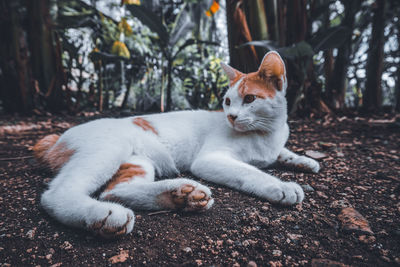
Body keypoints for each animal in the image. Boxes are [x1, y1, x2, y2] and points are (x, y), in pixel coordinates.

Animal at [34, 51, 320, 239]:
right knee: (56, 195)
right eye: (227, 101)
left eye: (249, 99)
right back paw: (102, 215)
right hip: (107, 150)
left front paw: (305, 160)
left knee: (115, 190)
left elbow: (282, 152)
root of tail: (58, 137)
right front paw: (281, 186)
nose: (231, 116)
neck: (265, 134)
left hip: (138, 161)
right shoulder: (209, 159)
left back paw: (179, 195)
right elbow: (250, 171)